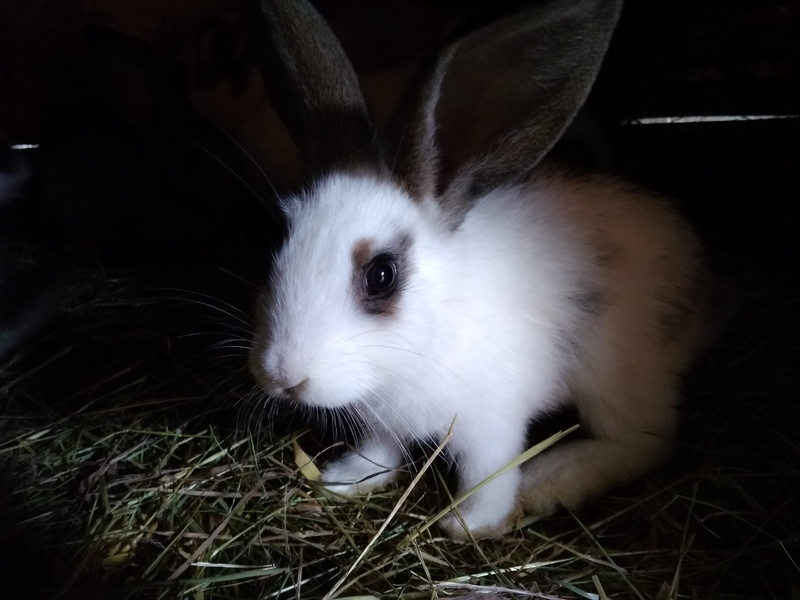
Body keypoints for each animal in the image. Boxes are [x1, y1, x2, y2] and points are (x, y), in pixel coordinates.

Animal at [246, 0, 715, 539]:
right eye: (278, 242)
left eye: (381, 275)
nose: (283, 376)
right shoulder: (386, 421)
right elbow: (381, 450)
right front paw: (343, 479)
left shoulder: (492, 425)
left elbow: (488, 477)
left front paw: (466, 523)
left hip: (615, 377)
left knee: (643, 442)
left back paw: (551, 478)